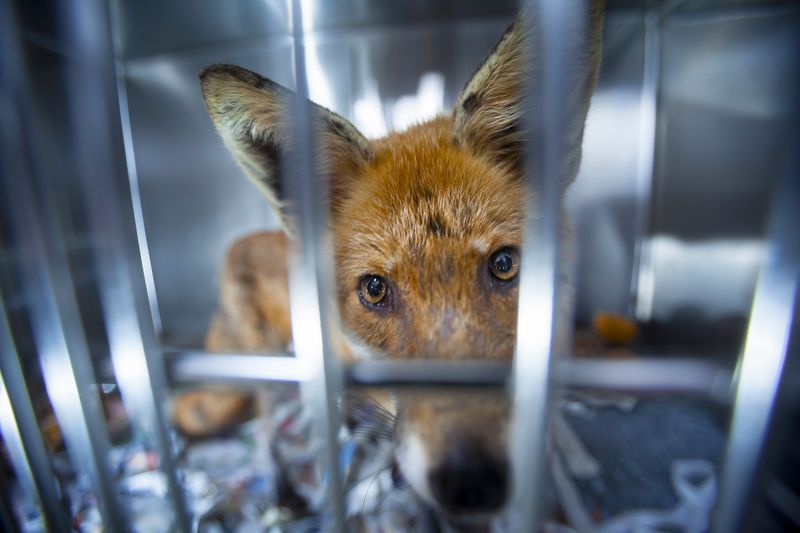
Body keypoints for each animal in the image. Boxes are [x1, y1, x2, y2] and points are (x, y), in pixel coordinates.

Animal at [174, 0, 604, 525]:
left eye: (504, 264)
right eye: (375, 289)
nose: (473, 482)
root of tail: (239, 242)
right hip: (269, 368)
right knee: (264, 425)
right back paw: (284, 488)